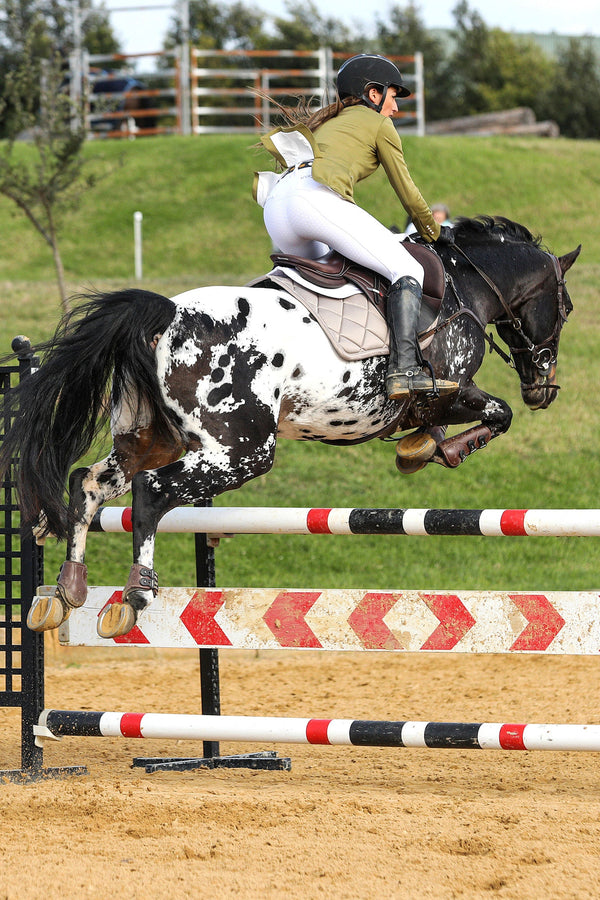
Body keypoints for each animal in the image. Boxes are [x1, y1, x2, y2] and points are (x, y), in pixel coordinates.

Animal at [0, 217, 580, 640]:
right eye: (566, 308)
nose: (543, 389)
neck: (465, 283)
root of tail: (166, 313)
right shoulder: (446, 388)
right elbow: (496, 413)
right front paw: (432, 449)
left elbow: (471, 419)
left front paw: (418, 447)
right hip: (244, 451)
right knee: (151, 493)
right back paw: (136, 596)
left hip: (152, 438)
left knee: (87, 483)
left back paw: (65, 592)